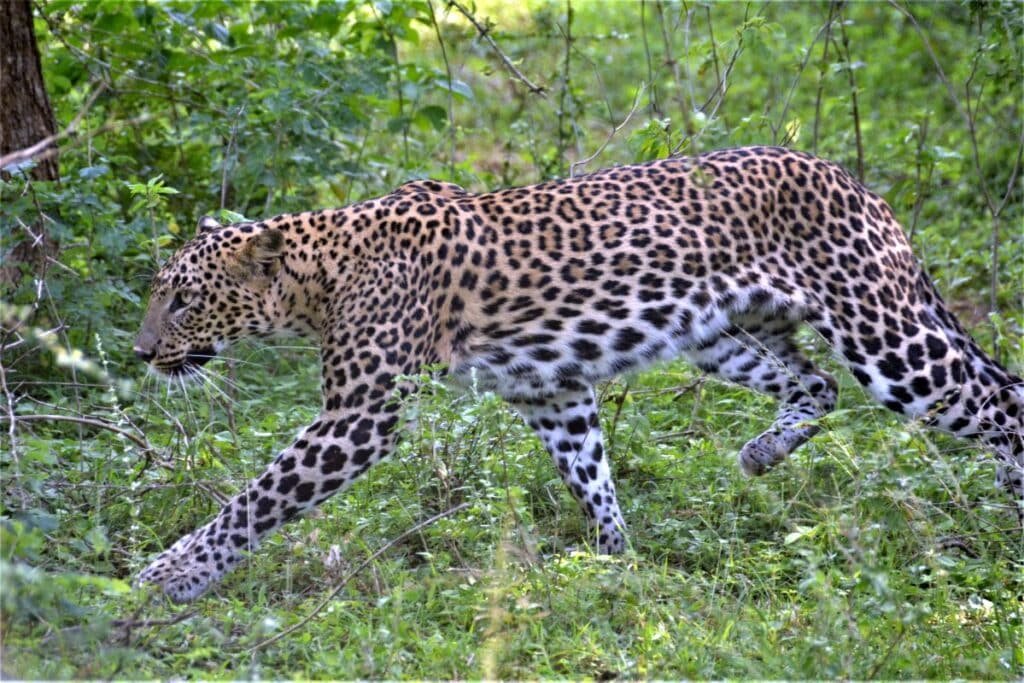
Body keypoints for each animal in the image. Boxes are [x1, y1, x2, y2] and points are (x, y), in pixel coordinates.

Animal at [133, 146, 1023, 603]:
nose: (142, 353)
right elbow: (590, 472)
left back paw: (1013, 516)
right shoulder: (550, 389)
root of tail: (852, 179)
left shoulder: (359, 416)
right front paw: (614, 565)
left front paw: (164, 577)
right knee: (816, 386)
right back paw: (760, 455)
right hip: (724, 332)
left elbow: (253, 501)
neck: (316, 278)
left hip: (888, 336)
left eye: (182, 299)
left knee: (997, 400)